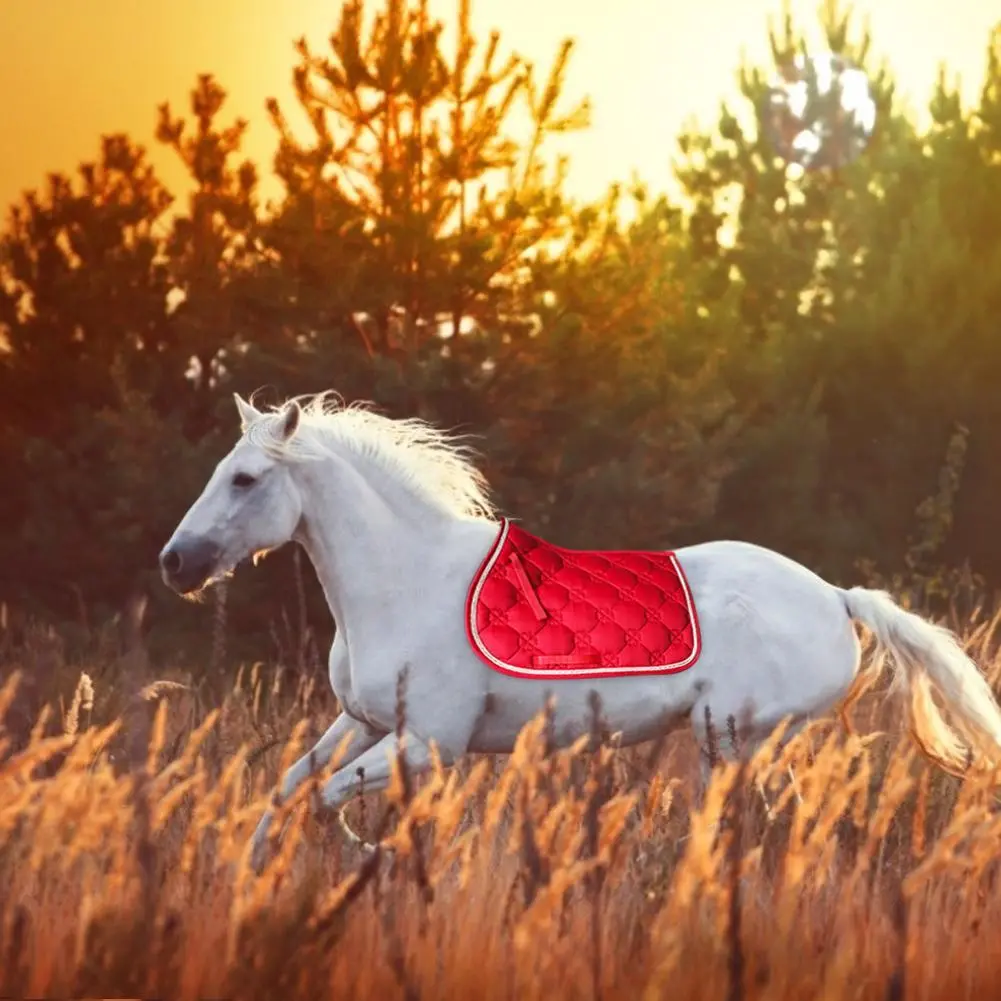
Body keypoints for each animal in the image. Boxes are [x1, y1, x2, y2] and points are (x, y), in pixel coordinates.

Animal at [159, 393, 1001, 870]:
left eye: (245, 478)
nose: (176, 564)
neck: (405, 577)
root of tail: (834, 595)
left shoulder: (430, 743)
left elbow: (325, 796)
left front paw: (374, 855)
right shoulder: (362, 720)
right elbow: (290, 787)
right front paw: (258, 872)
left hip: (733, 736)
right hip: (734, 746)